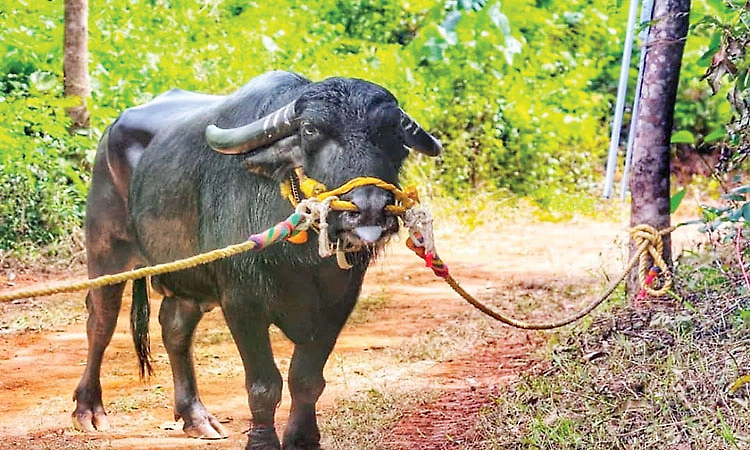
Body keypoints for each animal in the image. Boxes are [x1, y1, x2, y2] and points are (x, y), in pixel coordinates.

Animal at [72, 70, 441, 449]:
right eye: (310, 130)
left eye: (394, 134)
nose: (368, 208)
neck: (302, 259)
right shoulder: (242, 302)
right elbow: (264, 385)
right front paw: (262, 441)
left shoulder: (339, 302)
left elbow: (307, 379)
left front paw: (303, 439)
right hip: (107, 250)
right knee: (100, 321)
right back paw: (89, 410)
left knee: (174, 327)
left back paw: (196, 417)